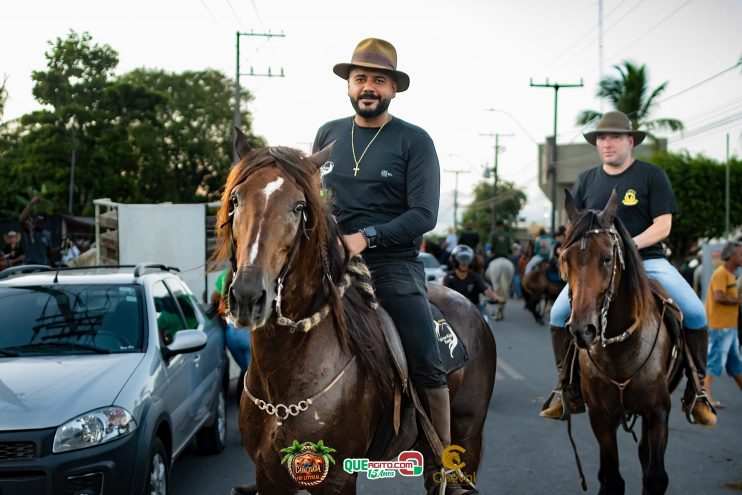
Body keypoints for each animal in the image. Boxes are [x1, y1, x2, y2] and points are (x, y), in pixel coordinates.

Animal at [218, 133, 500, 495]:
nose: (248, 296)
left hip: (468, 436)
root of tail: (470, 308)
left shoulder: (337, 478)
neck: (281, 383)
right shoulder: (268, 475)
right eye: (236, 199)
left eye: (299, 207)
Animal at [560, 188, 684, 494]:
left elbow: (655, 477)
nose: (582, 330)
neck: (621, 350)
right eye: (566, 259)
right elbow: (611, 479)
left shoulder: (658, 412)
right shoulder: (601, 416)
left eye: (607, 258)